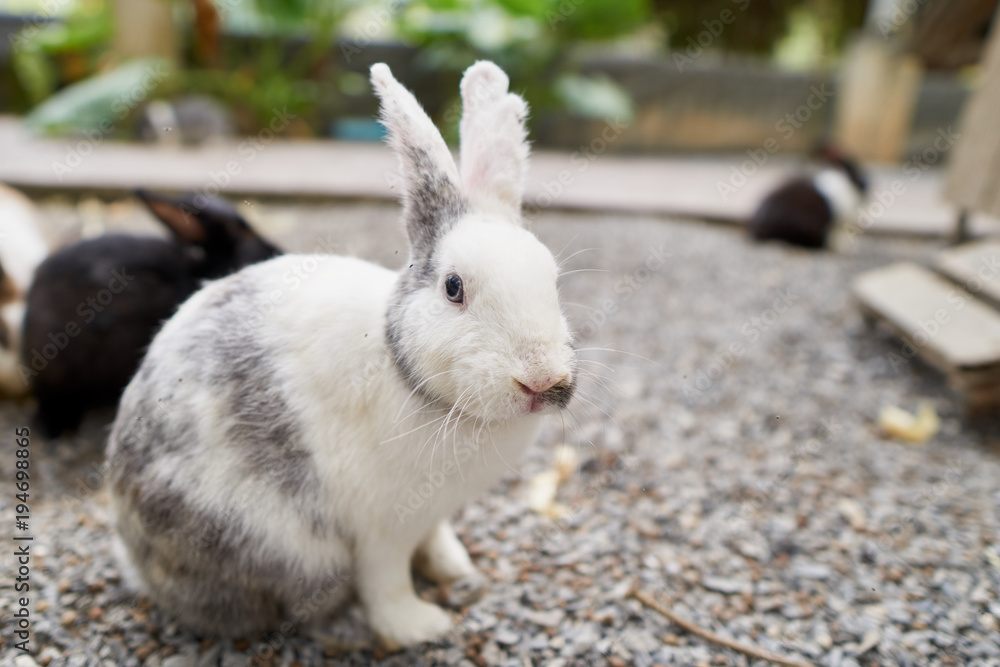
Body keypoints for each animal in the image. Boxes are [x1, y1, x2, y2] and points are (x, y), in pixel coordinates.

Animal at [106, 61, 577, 649]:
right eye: (454, 288)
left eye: (552, 280)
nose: (542, 380)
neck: (408, 374)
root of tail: (136, 559)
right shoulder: (383, 530)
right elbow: (387, 583)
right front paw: (420, 626)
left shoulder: (432, 515)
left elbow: (435, 541)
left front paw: (456, 569)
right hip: (293, 554)